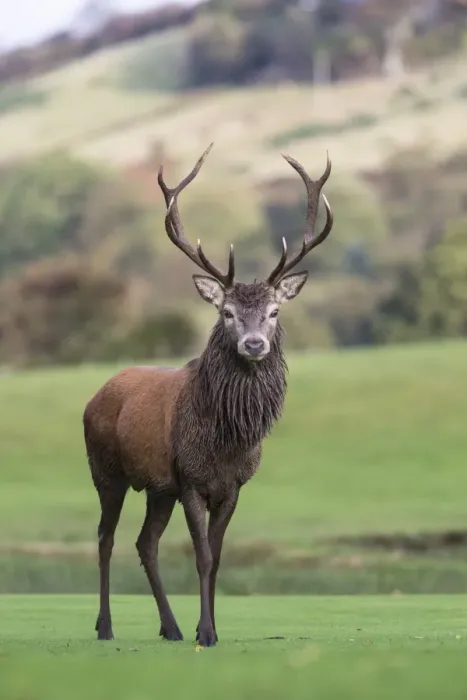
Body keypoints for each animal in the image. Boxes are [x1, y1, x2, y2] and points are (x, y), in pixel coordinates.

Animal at [83, 143, 333, 647]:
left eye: (274, 311)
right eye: (227, 312)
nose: (253, 345)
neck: (226, 441)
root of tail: (93, 397)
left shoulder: (232, 486)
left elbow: (216, 559)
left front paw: (210, 628)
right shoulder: (192, 480)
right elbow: (199, 556)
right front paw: (207, 632)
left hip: (157, 488)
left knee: (145, 542)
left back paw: (170, 627)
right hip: (107, 471)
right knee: (105, 538)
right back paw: (105, 626)